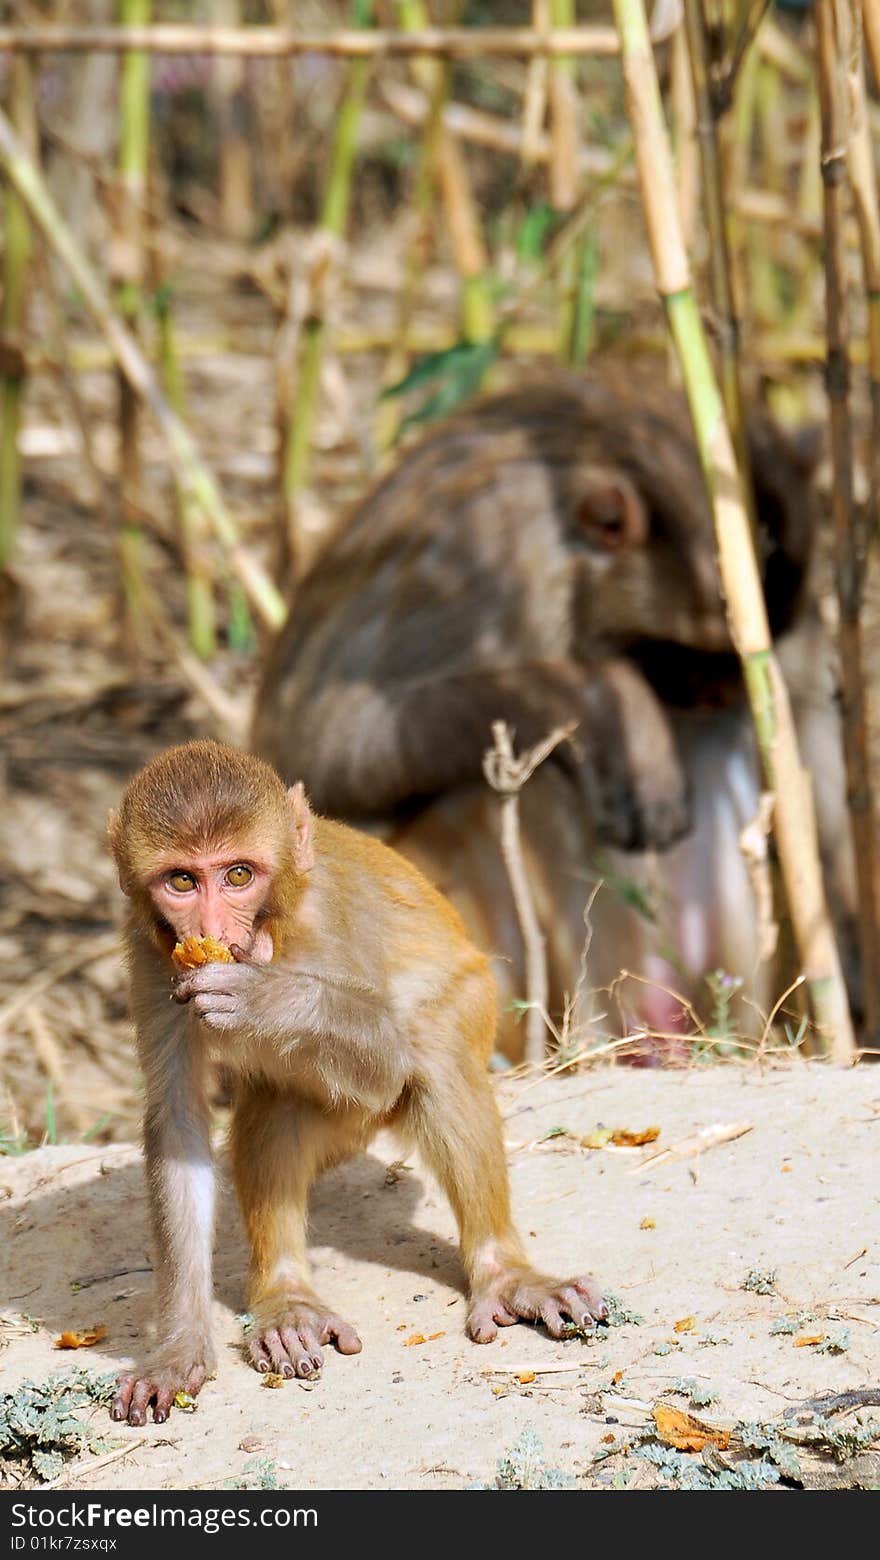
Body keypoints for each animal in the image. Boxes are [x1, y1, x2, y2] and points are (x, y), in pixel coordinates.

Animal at [108, 742, 605, 1428]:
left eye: (238, 875)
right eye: (182, 881)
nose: (211, 926)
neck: (277, 927)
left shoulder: (331, 919)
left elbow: (391, 1062)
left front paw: (270, 999)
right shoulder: (153, 954)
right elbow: (179, 1121)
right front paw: (180, 1346)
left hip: (470, 1007)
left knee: (431, 1052)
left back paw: (503, 1273)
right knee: (278, 1102)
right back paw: (286, 1300)